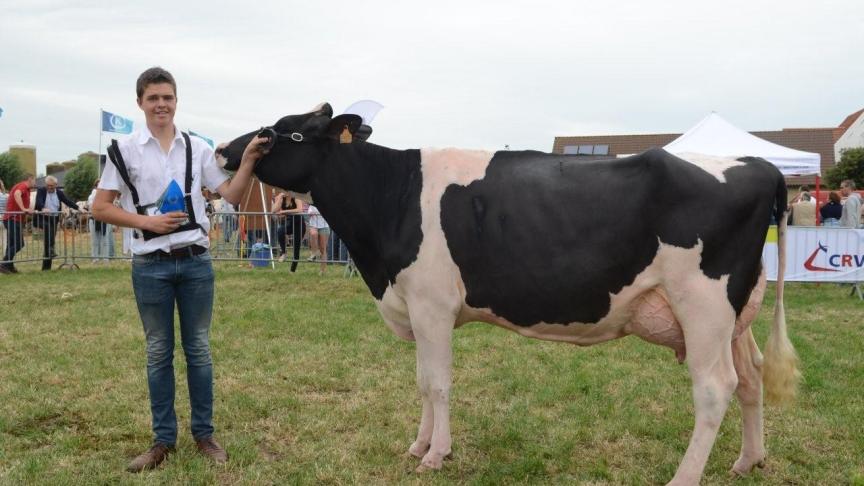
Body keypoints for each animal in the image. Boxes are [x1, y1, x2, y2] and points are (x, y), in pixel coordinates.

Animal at [220, 103, 799, 485]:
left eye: (287, 133)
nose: (228, 150)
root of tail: (757, 165)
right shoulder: (418, 306)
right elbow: (422, 382)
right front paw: (418, 444)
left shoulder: (431, 303)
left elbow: (437, 384)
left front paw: (436, 454)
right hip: (735, 315)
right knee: (750, 379)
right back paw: (748, 461)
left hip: (703, 304)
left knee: (715, 389)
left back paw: (684, 478)